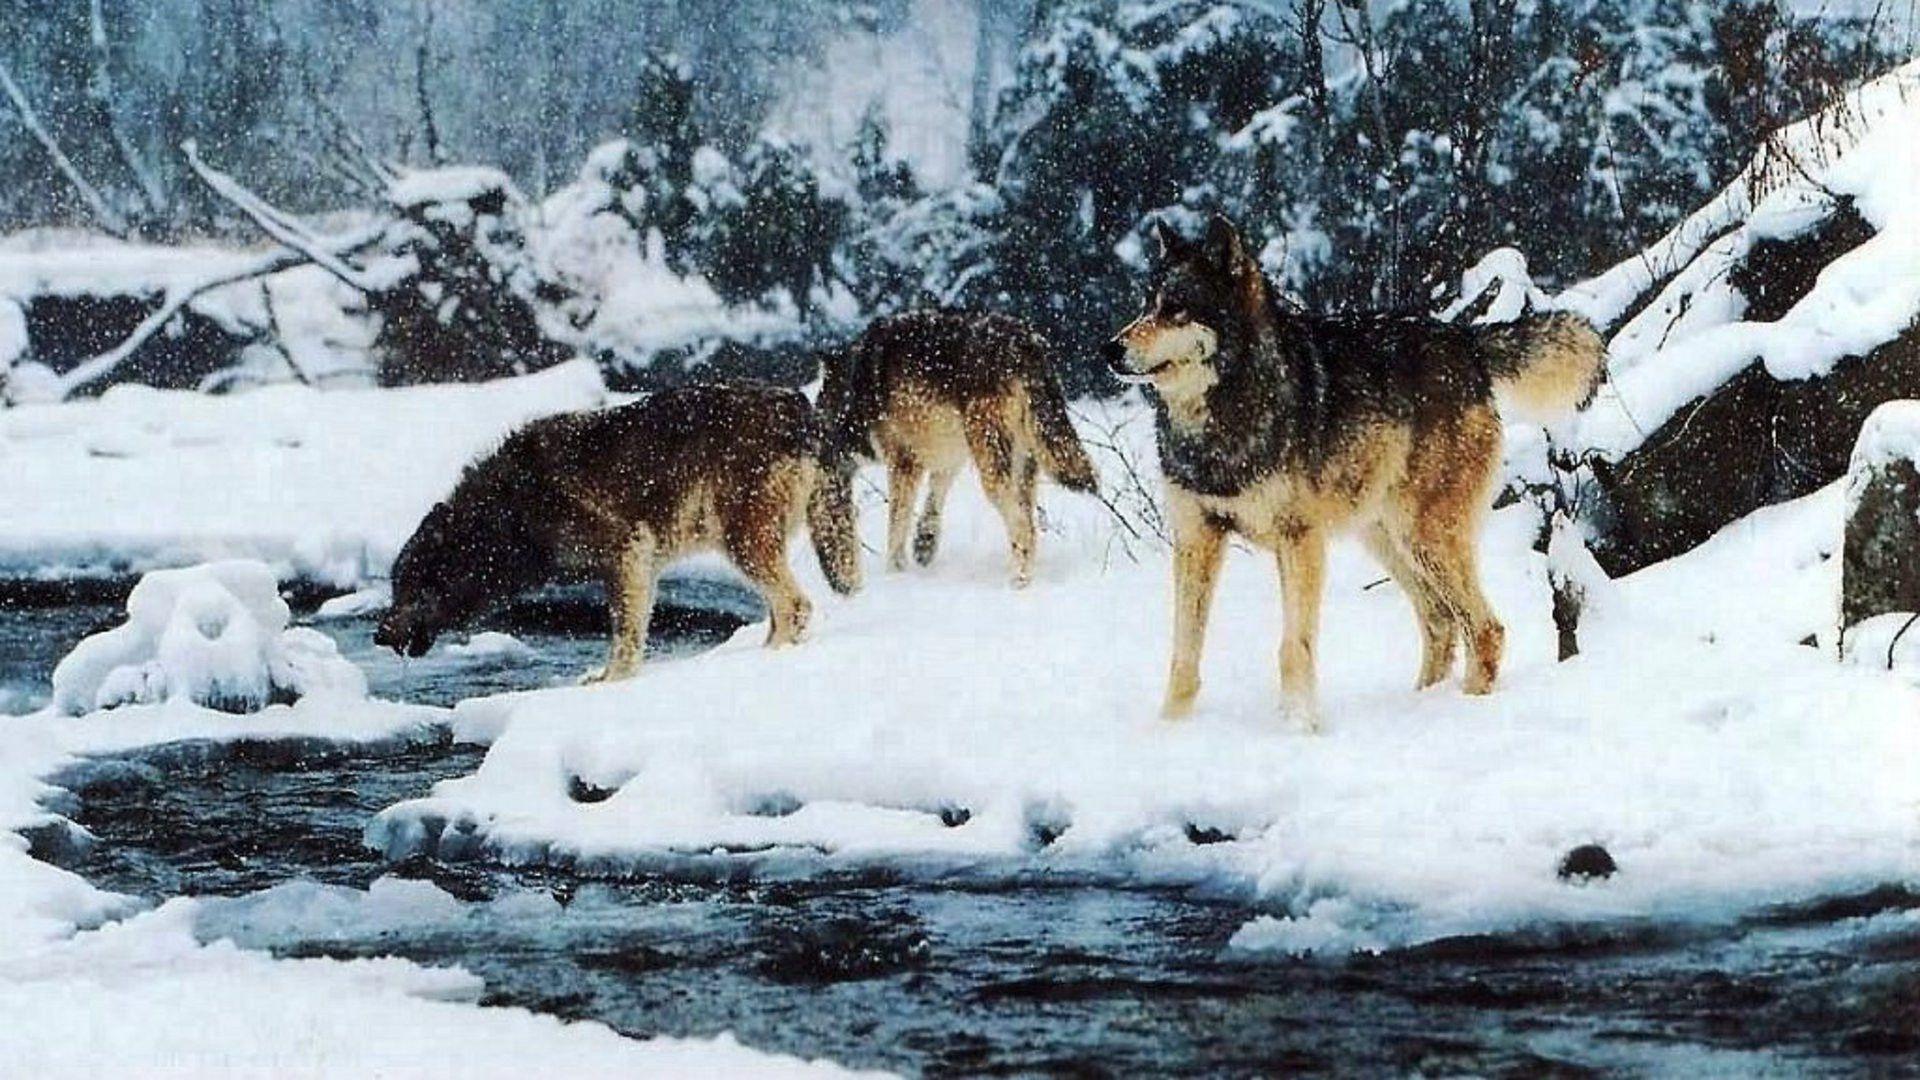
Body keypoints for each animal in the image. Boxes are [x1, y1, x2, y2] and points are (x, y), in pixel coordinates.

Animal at [374, 382, 861, 681]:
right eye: (395, 587)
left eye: (411, 588)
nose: (379, 635)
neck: (510, 512)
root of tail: (801, 407)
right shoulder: (637, 566)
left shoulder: (627, 554)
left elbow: (624, 636)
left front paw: (611, 682)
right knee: (783, 609)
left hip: (743, 544)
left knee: (796, 606)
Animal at [818, 309, 1098, 587]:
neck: (854, 390)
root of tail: (1026, 343)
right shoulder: (947, 457)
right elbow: (932, 502)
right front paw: (924, 545)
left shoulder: (903, 461)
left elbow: (896, 527)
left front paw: (895, 574)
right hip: (1023, 464)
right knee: (1028, 524)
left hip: (992, 470)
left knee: (1023, 527)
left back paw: (1017, 582)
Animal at [1105, 215, 1604, 727]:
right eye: (1145, 306)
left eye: (1176, 309)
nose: (1109, 349)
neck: (1225, 412)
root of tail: (1465, 340)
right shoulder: (1196, 537)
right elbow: (1184, 654)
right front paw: (1171, 727)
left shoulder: (1299, 539)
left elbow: (1293, 649)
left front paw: (1298, 726)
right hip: (1386, 539)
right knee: (1441, 621)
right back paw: (1419, 703)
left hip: (1425, 536)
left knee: (1485, 628)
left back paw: (1463, 709)